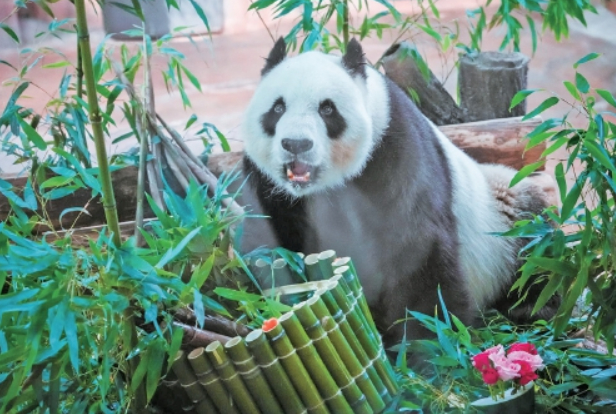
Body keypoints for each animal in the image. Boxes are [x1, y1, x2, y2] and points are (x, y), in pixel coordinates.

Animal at [239, 37, 552, 344]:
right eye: (278, 108)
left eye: (327, 109)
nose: (296, 144)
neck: (324, 186)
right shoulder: (272, 190)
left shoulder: (394, 151)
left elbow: (418, 247)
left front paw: (426, 341)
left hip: (501, 214)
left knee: (534, 249)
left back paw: (527, 311)